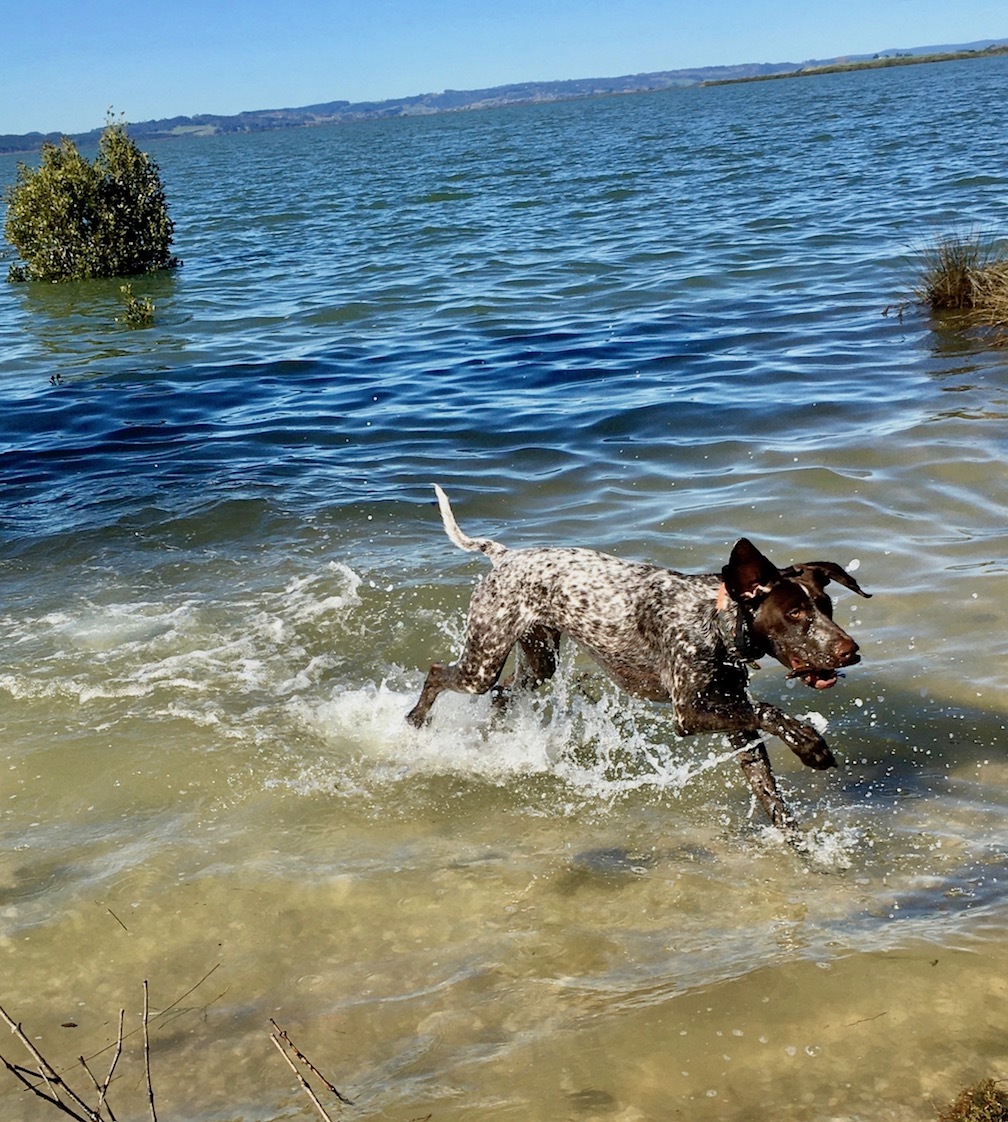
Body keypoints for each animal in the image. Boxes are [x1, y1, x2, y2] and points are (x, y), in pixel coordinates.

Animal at [404, 484, 866, 843]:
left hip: (538, 663)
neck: (714, 624)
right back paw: (415, 722)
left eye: (826, 605)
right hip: (482, 662)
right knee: (438, 673)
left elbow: (771, 794)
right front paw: (811, 745)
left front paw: (803, 849)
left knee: (502, 696)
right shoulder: (690, 712)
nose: (851, 651)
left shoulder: (737, 724)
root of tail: (505, 556)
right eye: (794, 614)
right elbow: (772, 711)